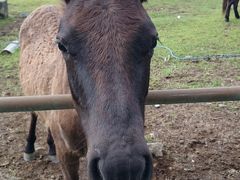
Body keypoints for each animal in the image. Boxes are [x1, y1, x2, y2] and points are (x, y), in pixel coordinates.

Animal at [18, 0, 158, 179]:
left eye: (153, 41)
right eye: (62, 45)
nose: (123, 168)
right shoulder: (67, 156)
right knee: (34, 113)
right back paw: (29, 148)